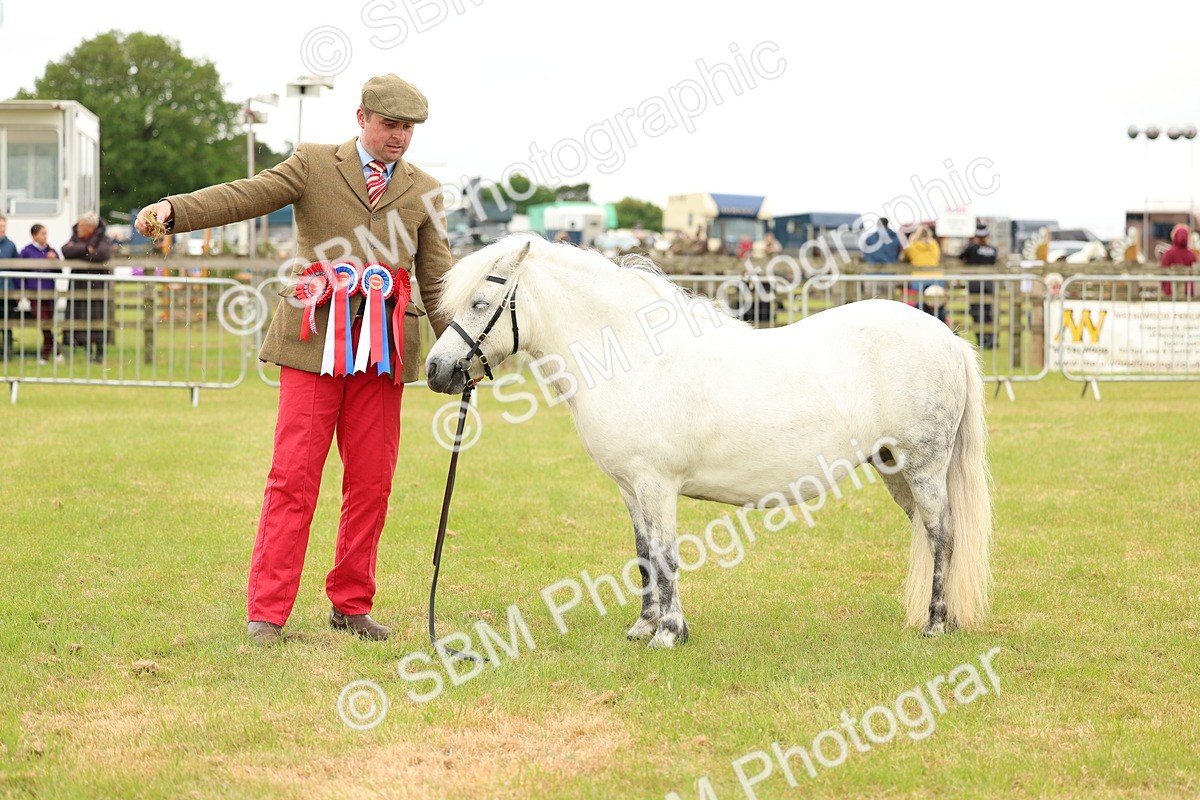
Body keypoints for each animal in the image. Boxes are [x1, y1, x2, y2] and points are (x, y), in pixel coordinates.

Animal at [425, 234, 991, 649]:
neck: (634, 355)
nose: (436, 370)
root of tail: (946, 337)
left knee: (943, 535)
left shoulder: (657, 485)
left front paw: (669, 634)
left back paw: (935, 626)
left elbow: (666, 554)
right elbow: (643, 553)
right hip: (894, 468)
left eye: (479, 301)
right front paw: (643, 627)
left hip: (923, 466)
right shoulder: (631, 488)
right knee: (929, 534)